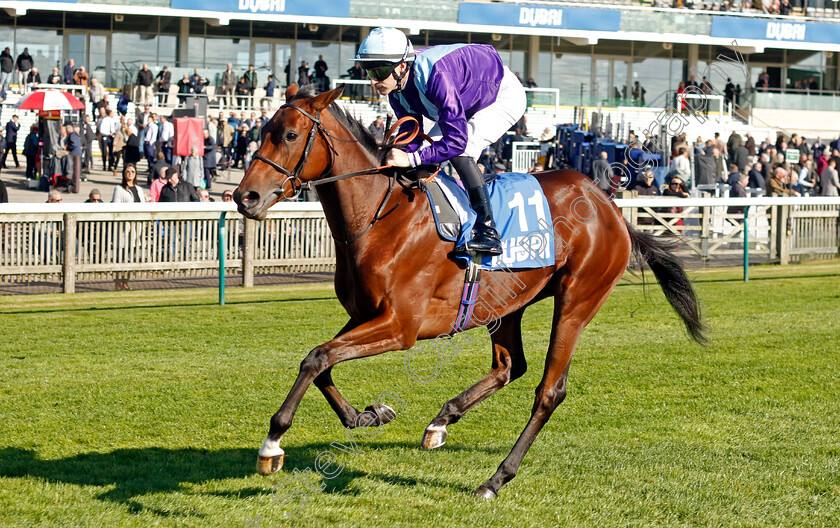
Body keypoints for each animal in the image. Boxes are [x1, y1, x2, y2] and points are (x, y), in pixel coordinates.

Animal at [230, 85, 704, 500]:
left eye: (290, 135)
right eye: (263, 129)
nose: (243, 196)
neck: (380, 218)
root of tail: (610, 208)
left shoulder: (401, 327)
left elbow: (317, 358)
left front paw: (272, 444)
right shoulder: (365, 314)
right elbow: (321, 362)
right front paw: (369, 415)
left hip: (576, 301)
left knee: (549, 391)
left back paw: (495, 479)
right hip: (507, 303)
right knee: (510, 366)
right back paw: (441, 421)